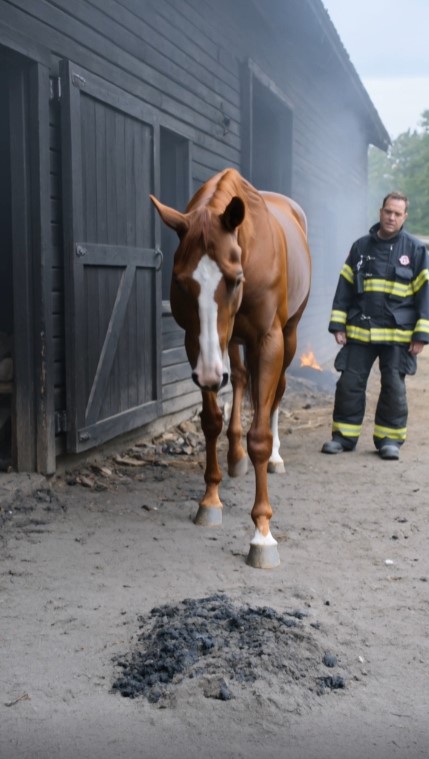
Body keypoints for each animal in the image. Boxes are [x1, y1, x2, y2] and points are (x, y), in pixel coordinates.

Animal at [150, 168, 311, 568]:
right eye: (180, 282)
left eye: (235, 279)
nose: (210, 374)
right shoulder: (197, 342)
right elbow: (211, 421)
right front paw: (210, 499)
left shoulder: (268, 341)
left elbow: (260, 435)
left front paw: (263, 533)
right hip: (231, 342)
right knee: (238, 379)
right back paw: (236, 457)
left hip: (288, 335)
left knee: (276, 393)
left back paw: (275, 457)